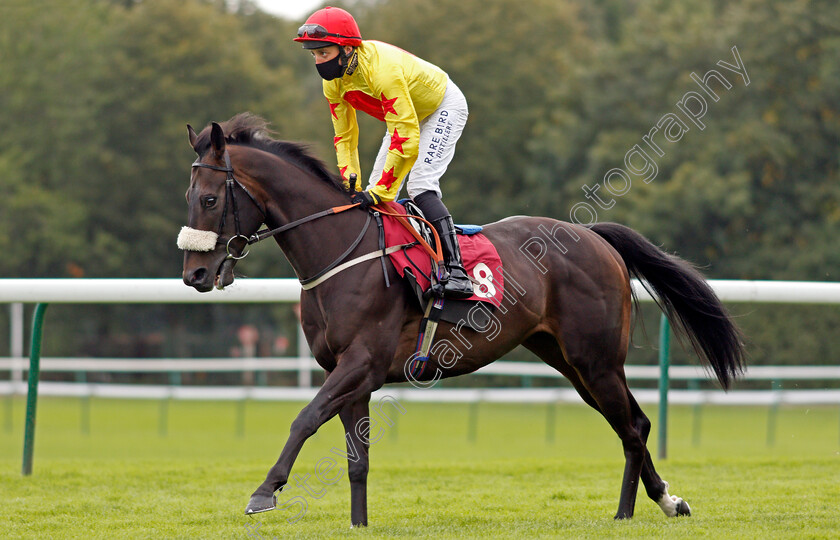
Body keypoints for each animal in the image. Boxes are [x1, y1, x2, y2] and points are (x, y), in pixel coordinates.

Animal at [180, 113, 744, 528]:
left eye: (209, 198)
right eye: (188, 198)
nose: (195, 274)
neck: (341, 252)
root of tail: (596, 237)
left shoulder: (361, 362)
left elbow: (304, 418)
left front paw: (264, 491)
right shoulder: (347, 373)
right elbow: (356, 458)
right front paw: (359, 523)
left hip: (597, 358)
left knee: (631, 426)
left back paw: (625, 512)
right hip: (571, 362)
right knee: (633, 421)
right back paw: (668, 501)